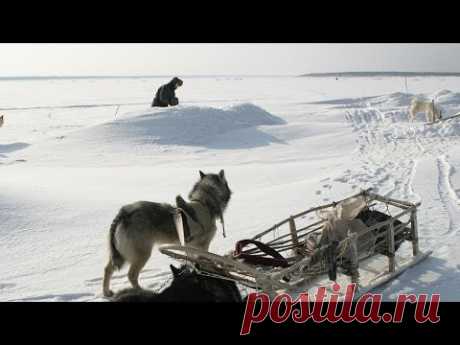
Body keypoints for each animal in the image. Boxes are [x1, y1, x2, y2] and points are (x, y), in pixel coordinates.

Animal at [102, 169, 232, 296]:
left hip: (121, 254)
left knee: (108, 269)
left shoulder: (189, 247)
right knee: (131, 275)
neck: (203, 202)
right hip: (142, 254)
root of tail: (123, 213)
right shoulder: (201, 246)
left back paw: (106, 292)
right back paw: (142, 291)